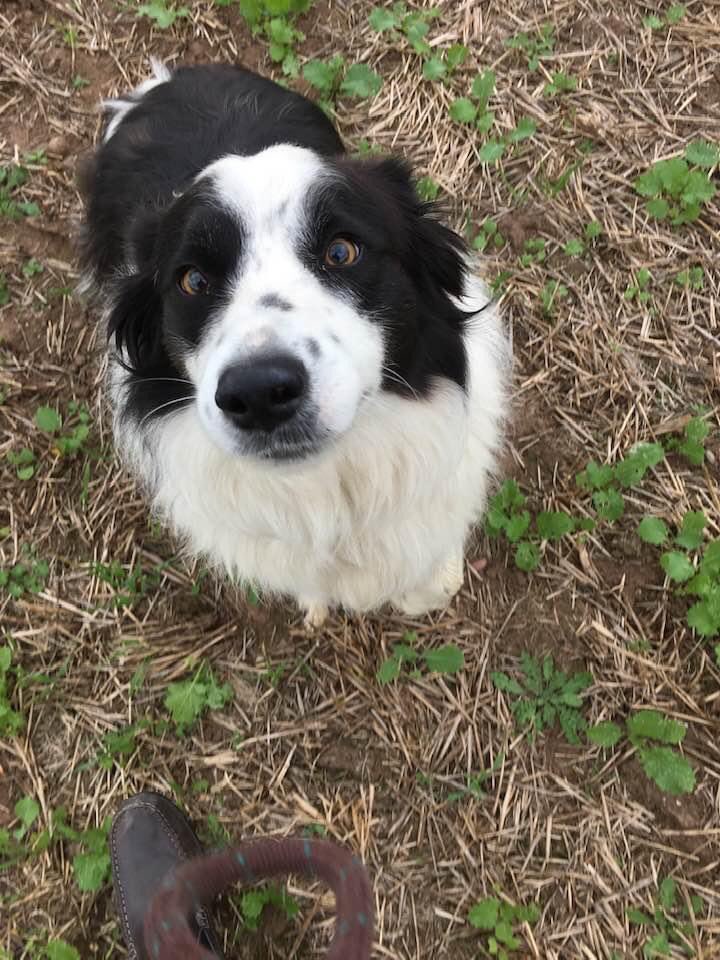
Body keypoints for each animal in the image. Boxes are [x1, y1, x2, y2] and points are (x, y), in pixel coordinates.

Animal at [80, 63, 512, 628]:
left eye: (342, 251)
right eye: (192, 280)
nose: (258, 393)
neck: (328, 491)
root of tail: (165, 84)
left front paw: (430, 582)